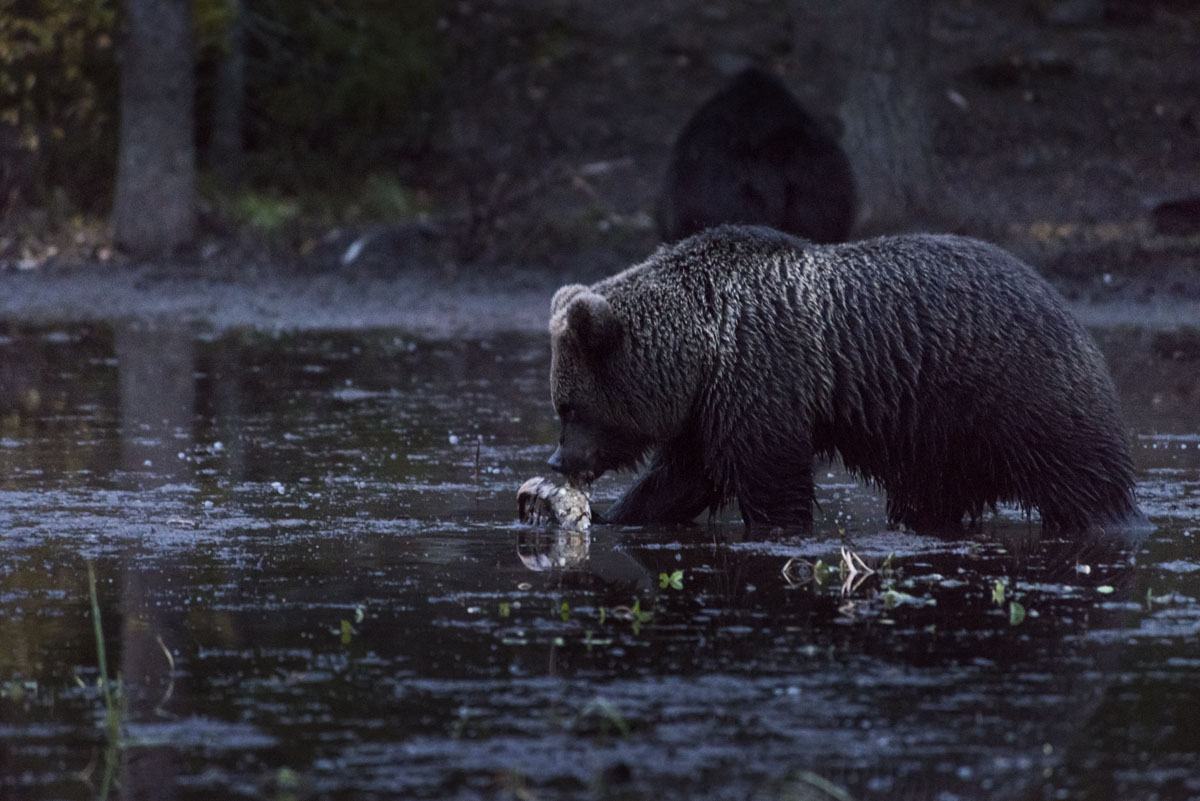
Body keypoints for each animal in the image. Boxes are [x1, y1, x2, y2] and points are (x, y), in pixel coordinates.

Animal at [549, 225, 1137, 534]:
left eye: (570, 407)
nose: (558, 460)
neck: (702, 350)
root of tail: (1060, 300)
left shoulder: (765, 379)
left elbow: (771, 483)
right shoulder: (711, 410)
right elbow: (683, 479)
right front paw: (612, 514)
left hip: (1013, 394)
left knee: (1080, 478)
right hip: (940, 439)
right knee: (929, 497)